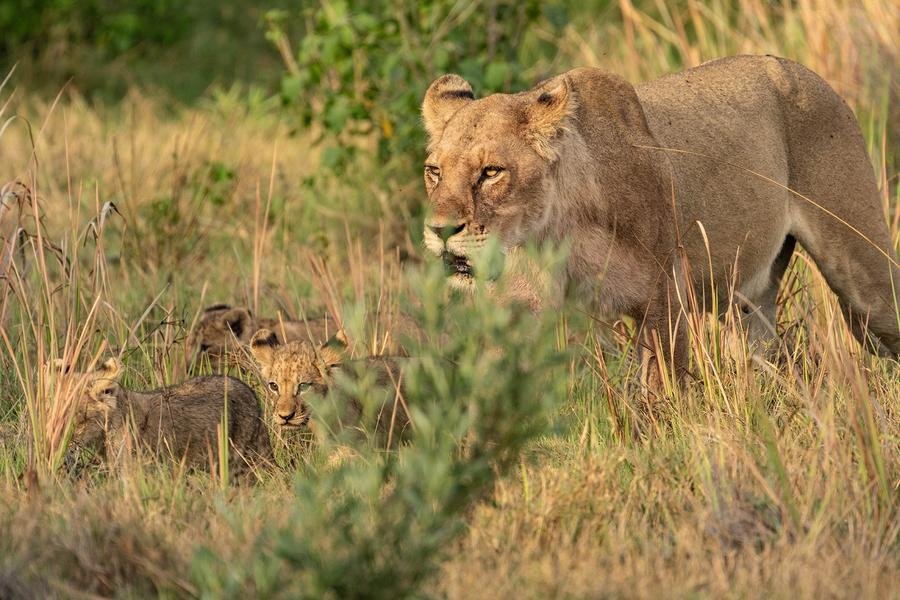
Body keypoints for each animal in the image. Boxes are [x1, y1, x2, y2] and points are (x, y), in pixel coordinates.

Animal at [420, 55, 899, 386]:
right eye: (434, 171)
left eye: (491, 172)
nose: (440, 231)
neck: (553, 240)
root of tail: (797, 68)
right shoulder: (517, 316)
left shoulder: (665, 299)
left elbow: (664, 395)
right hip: (749, 299)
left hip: (863, 274)